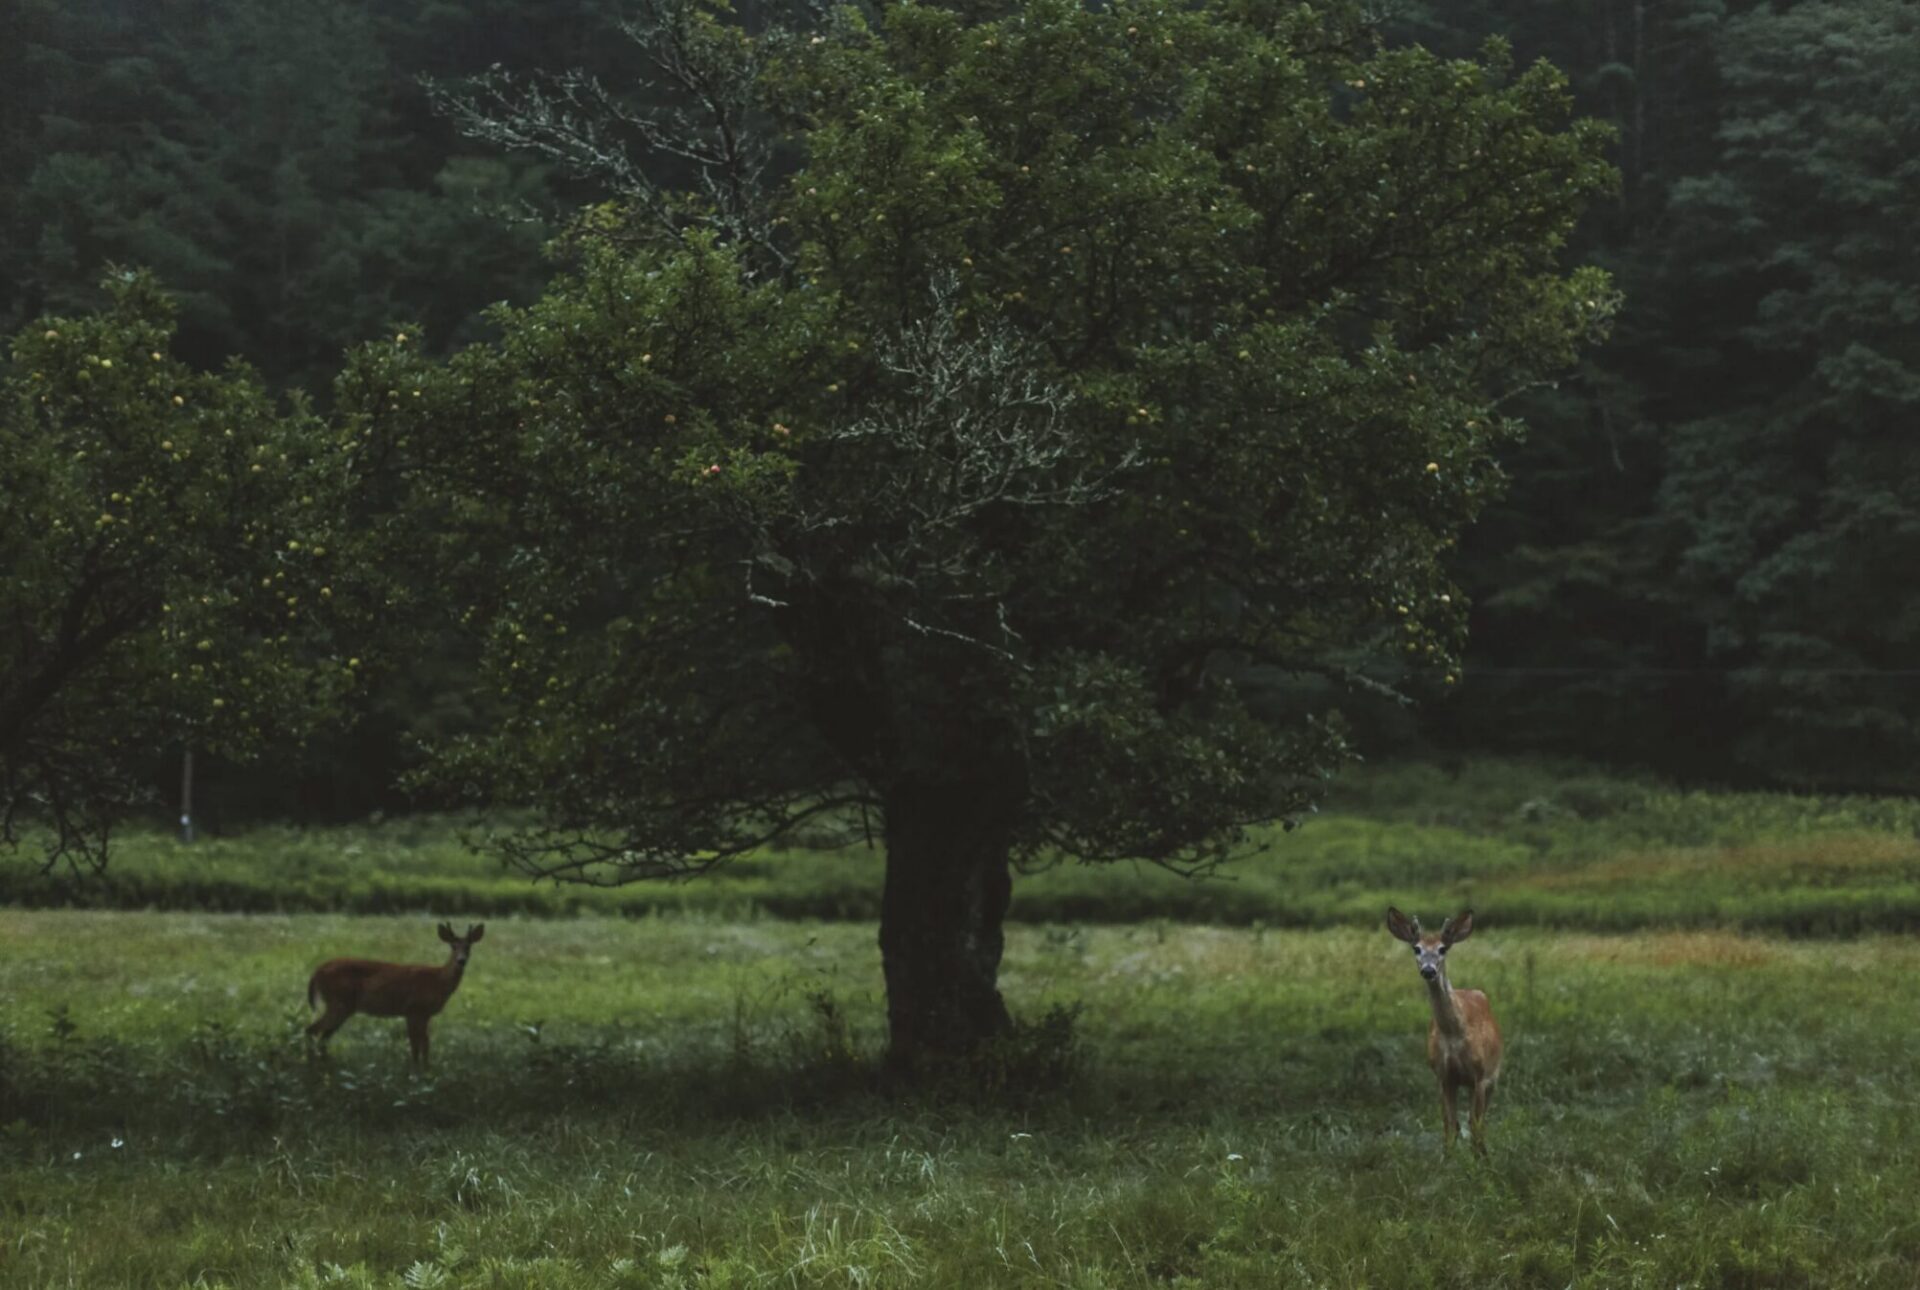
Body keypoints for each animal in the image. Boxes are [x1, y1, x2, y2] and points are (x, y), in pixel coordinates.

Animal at [306, 922, 484, 1069]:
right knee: (312, 1030)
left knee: (323, 1037)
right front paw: (415, 1070)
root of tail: (317, 972)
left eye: (468, 947)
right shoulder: (413, 1009)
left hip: (342, 1006)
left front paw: (426, 1069)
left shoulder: (425, 1014)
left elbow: (425, 1044)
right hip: (338, 1002)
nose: (461, 961)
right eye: (453, 946)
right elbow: (415, 1044)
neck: (437, 980)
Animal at [1386, 907, 1502, 1156]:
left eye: (1442, 949)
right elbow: (1449, 1125)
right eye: (1416, 948)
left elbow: (1476, 1125)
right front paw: (1447, 1159)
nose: (1428, 970)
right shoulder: (1443, 1075)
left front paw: (1479, 1161)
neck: (1453, 1035)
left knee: (1480, 1121)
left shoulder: (1480, 1075)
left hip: (1492, 1076)